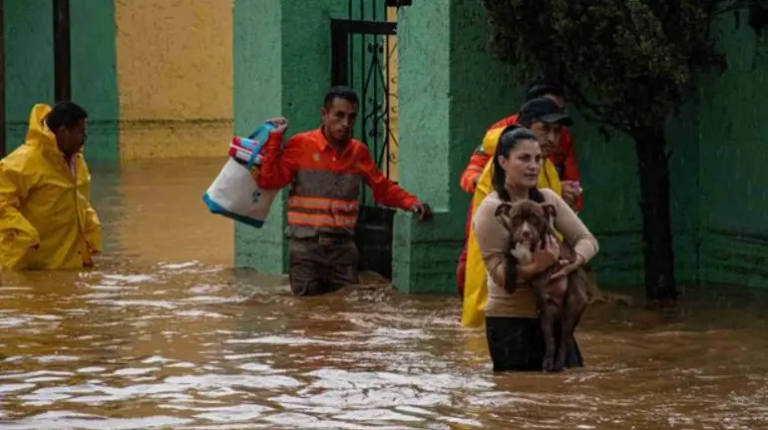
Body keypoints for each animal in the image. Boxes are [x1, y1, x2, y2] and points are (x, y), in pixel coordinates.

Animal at [496, 200, 592, 372]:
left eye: (534, 218)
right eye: (516, 218)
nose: (525, 233)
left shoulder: (555, 254)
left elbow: (553, 263)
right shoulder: (510, 250)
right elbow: (509, 262)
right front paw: (510, 283)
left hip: (572, 306)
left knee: (564, 341)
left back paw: (559, 364)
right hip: (545, 315)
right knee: (551, 340)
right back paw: (548, 363)